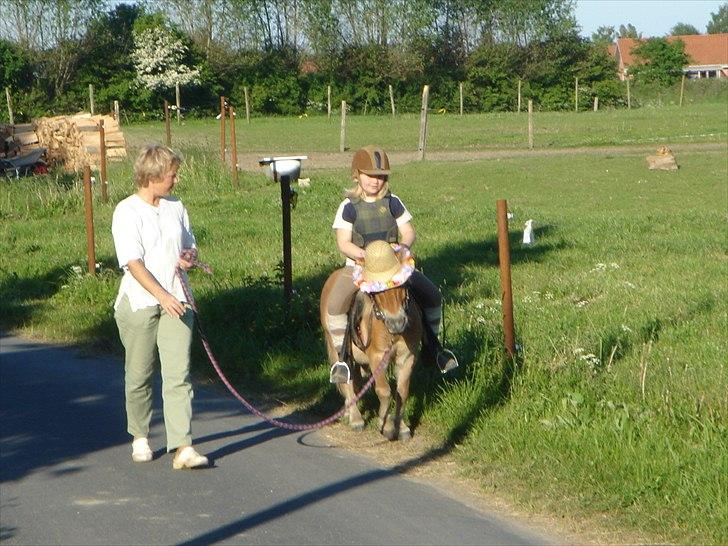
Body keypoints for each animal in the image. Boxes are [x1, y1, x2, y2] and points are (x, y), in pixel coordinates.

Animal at [318, 254, 420, 438]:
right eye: (376, 291)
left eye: (403, 285)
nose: (397, 323)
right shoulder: (377, 358)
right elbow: (384, 390)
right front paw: (385, 425)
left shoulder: (407, 357)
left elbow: (402, 391)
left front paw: (401, 428)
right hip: (339, 351)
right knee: (347, 380)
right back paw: (356, 419)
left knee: (356, 382)